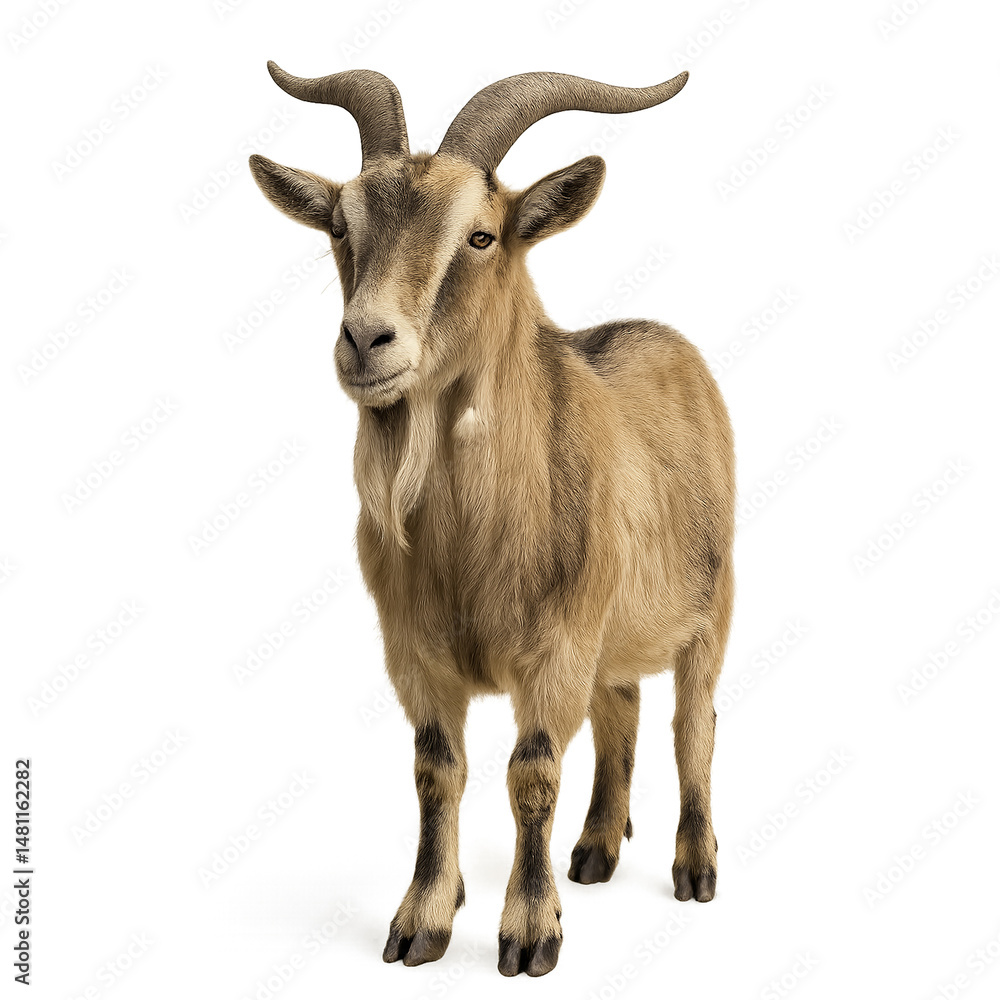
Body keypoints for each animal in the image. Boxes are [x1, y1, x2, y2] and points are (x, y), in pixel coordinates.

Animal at [249, 62, 735, 978]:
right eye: (340, 226)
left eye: (480, 236)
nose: (365, 341)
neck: (472, 544)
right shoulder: (415, 652)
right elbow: (436, 770)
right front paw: (422, 922)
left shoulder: (557, 647)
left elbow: (531, 771)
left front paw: (530, 933)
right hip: (613, 638)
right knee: (622, 711)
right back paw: (595, 851)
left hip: (710, 612)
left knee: (694, 724)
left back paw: (694, 869)